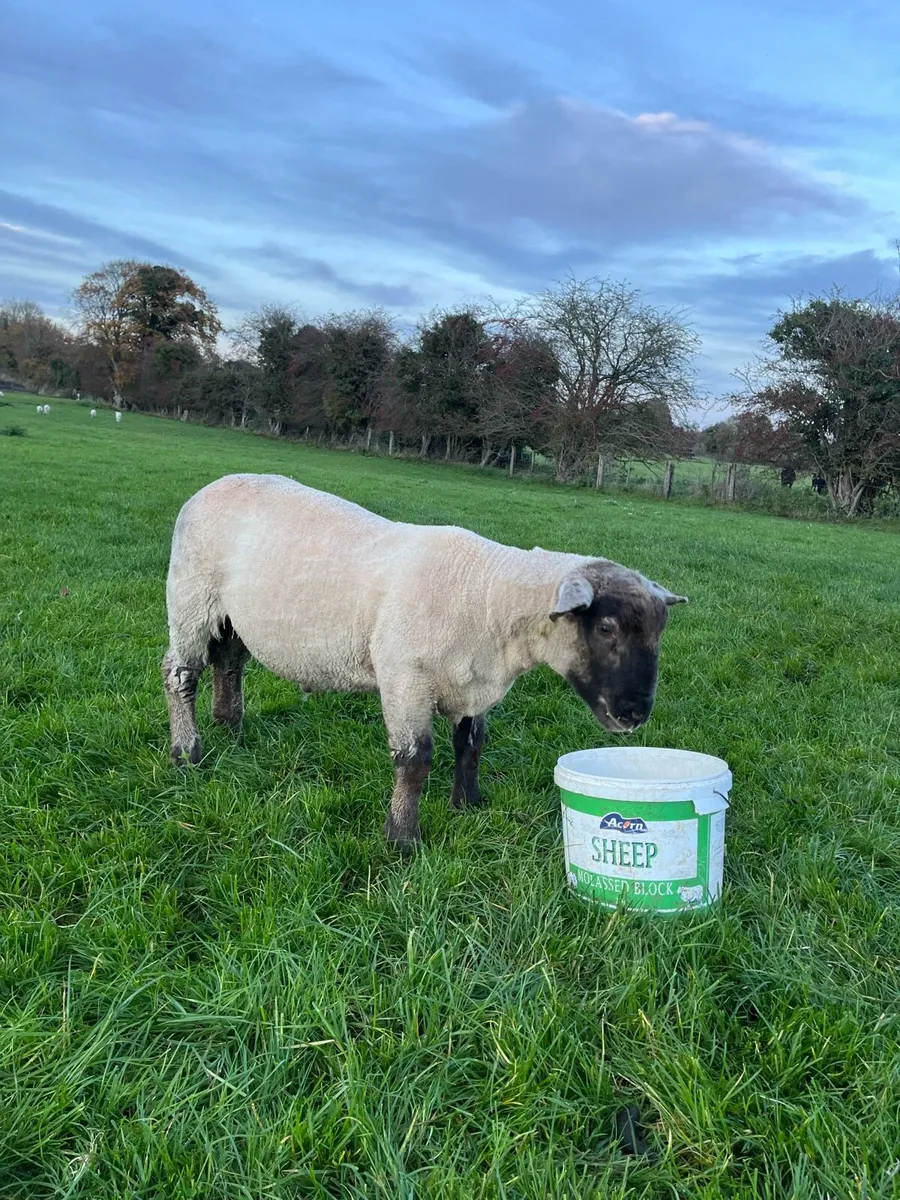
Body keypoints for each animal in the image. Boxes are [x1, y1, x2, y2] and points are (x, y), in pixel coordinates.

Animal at [163, 474, 688, 849]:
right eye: (606, 629)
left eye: (661, 631)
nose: (635, 713)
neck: (486, 592)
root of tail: (212, 484)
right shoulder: (404, 679)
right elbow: (414, 760)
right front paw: (402, 839)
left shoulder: (475, 685)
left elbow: (471, 745)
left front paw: (469, 805)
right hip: (190, 600)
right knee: (180, 675)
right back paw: (188, 752)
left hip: (231, 615)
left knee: (229, 664)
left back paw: (231, 728)